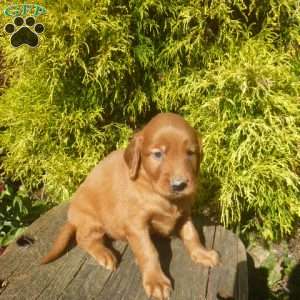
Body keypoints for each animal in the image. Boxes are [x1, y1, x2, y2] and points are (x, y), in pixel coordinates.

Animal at [42, 112, 219, 300]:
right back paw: (105, 254)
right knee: (83, 238)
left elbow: (192, 234)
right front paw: (156, 281)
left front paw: (203, 253)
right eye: (158, 154)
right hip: (92, 220)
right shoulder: (136, 225)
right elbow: (148, 251)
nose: (179, 185)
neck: (158, 193)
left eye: (190, 153)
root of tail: (72, 218)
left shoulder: (184, 214)